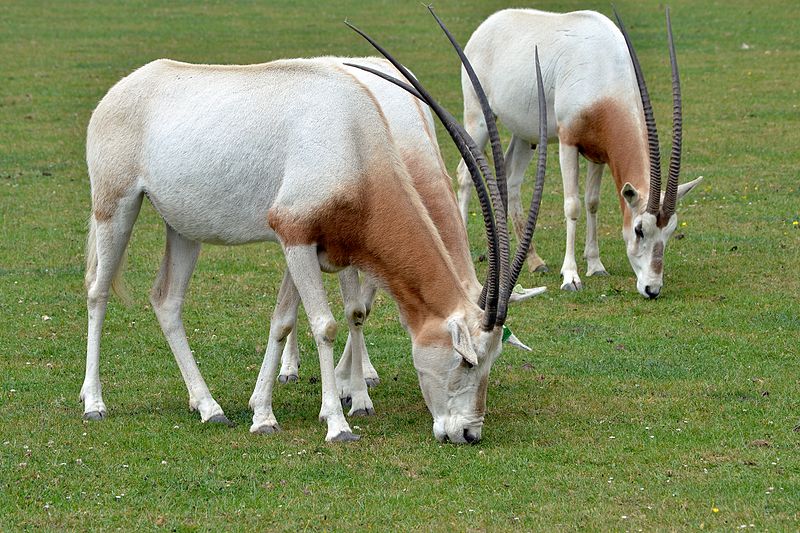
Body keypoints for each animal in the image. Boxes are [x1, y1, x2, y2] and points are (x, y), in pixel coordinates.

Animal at [83, 8, 552, 442]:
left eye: (492, 359)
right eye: (466, 360)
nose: (469, 433)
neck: (354, 137)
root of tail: (120, 90)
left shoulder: (308, 241)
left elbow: (286, 320)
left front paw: (263, 413)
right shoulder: (294, 236)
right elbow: (324, 324)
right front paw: (338, 421)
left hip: (184, 229)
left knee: (167, 301)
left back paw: (208, 406)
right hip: (115, 207)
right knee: (98, 292)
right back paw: (94, 403)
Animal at [460, 8, 704, 298]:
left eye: (670, 231)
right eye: (639, 229)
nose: (652, 288)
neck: (604, 69)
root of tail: (488, 24)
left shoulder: (599, 152)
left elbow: (592, 202)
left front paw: (595, 264)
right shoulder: (568, 143)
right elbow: (573, 205)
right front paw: (571, 276)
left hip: (526, 134)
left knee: (511, 177)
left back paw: (535, 260)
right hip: (478, 118)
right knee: (464, 175)